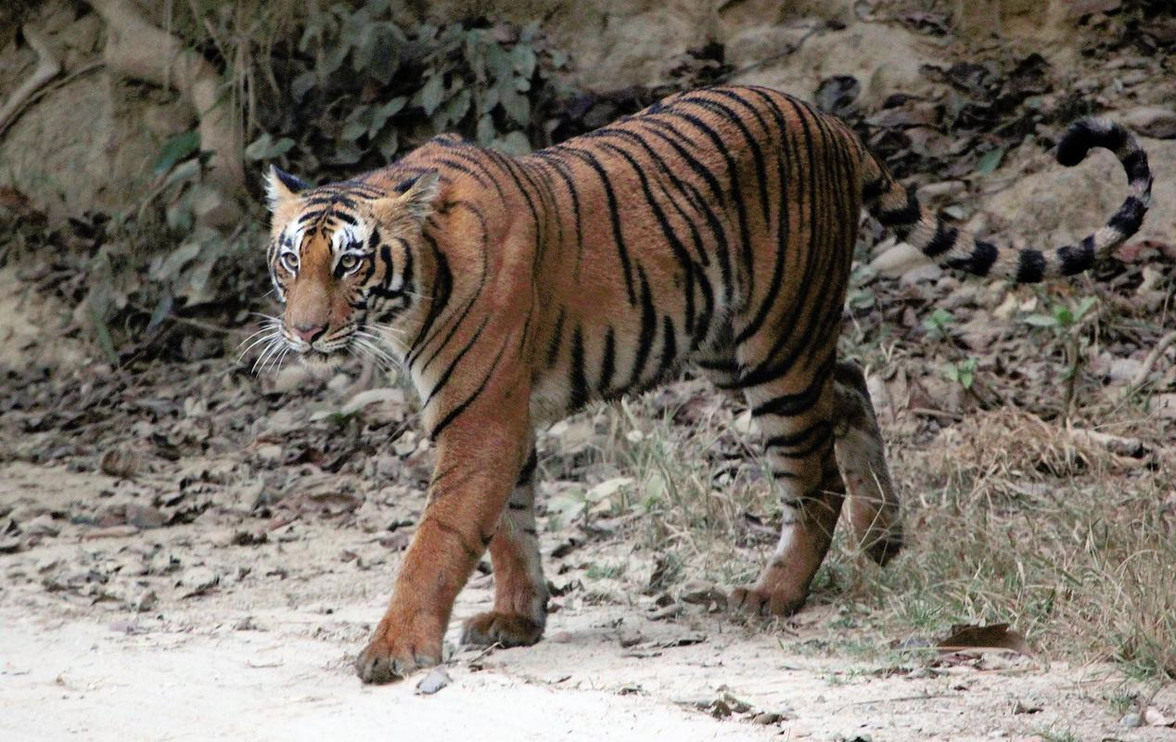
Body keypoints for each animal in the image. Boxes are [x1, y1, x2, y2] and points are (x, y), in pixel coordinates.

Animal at [260, 85, 1152, 684]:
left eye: (350, 262)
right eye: (289, 261)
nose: (302, 332)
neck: (412, 294)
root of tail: (832, 123)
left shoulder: (480, 419)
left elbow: (440, 539)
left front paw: (394, 650)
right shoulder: (499, 417)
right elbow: (509, 526)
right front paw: (519, 617)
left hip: (775, 344)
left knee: (815, 478)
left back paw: (775, 594)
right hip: (727, 343)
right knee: (851, 380)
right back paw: (881, 538)